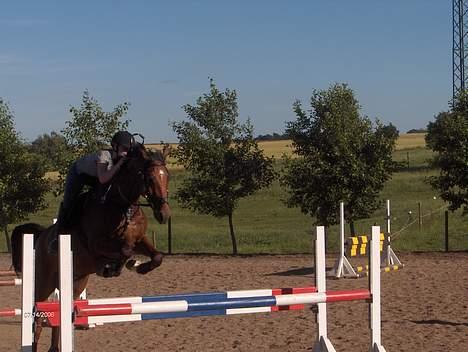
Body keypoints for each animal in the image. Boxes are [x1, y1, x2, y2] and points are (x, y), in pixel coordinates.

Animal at [11, 143, 170, 352]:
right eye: (150, 178)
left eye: (167, 176)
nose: (164, 215)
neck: (123, 205)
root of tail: (41, 236)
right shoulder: (96, 245)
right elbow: (125, 250)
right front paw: (119, 266)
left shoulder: (140, 239)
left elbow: (156, 256)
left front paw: (139, 267)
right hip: (45, 282)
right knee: (37, 316)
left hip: (76, 282)